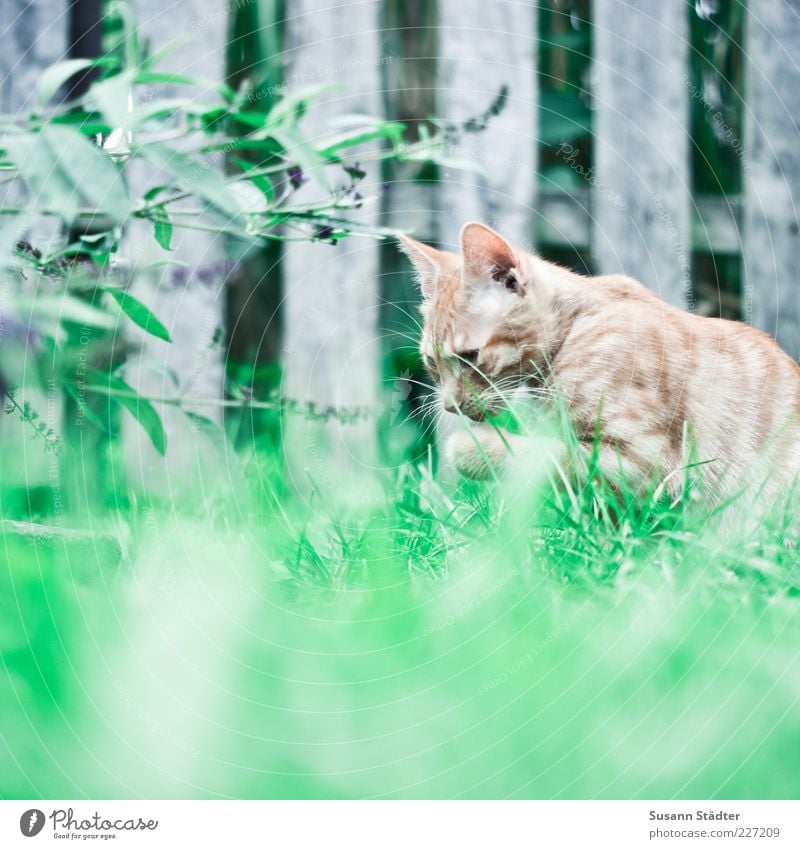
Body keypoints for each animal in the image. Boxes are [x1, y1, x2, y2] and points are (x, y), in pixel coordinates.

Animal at [404, 224, 800, 504]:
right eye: (431, 362)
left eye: (469, 357)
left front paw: (469, 450)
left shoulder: (651, 464)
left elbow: (548, 456)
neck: (578, 326)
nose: (450, 406)